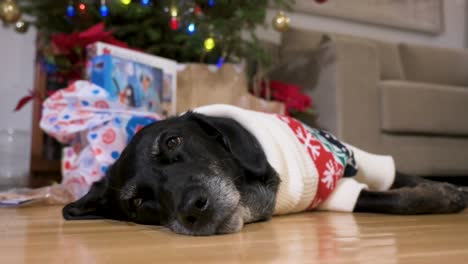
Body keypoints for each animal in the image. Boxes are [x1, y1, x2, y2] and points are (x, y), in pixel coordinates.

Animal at [64, 109, 468, 235]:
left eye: (173, 141)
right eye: (136, 203)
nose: (193, 208)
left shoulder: (359, 156)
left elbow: (401, 178)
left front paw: (444, 187)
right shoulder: (335, 193)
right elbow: (389, 199)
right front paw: (444, 196)